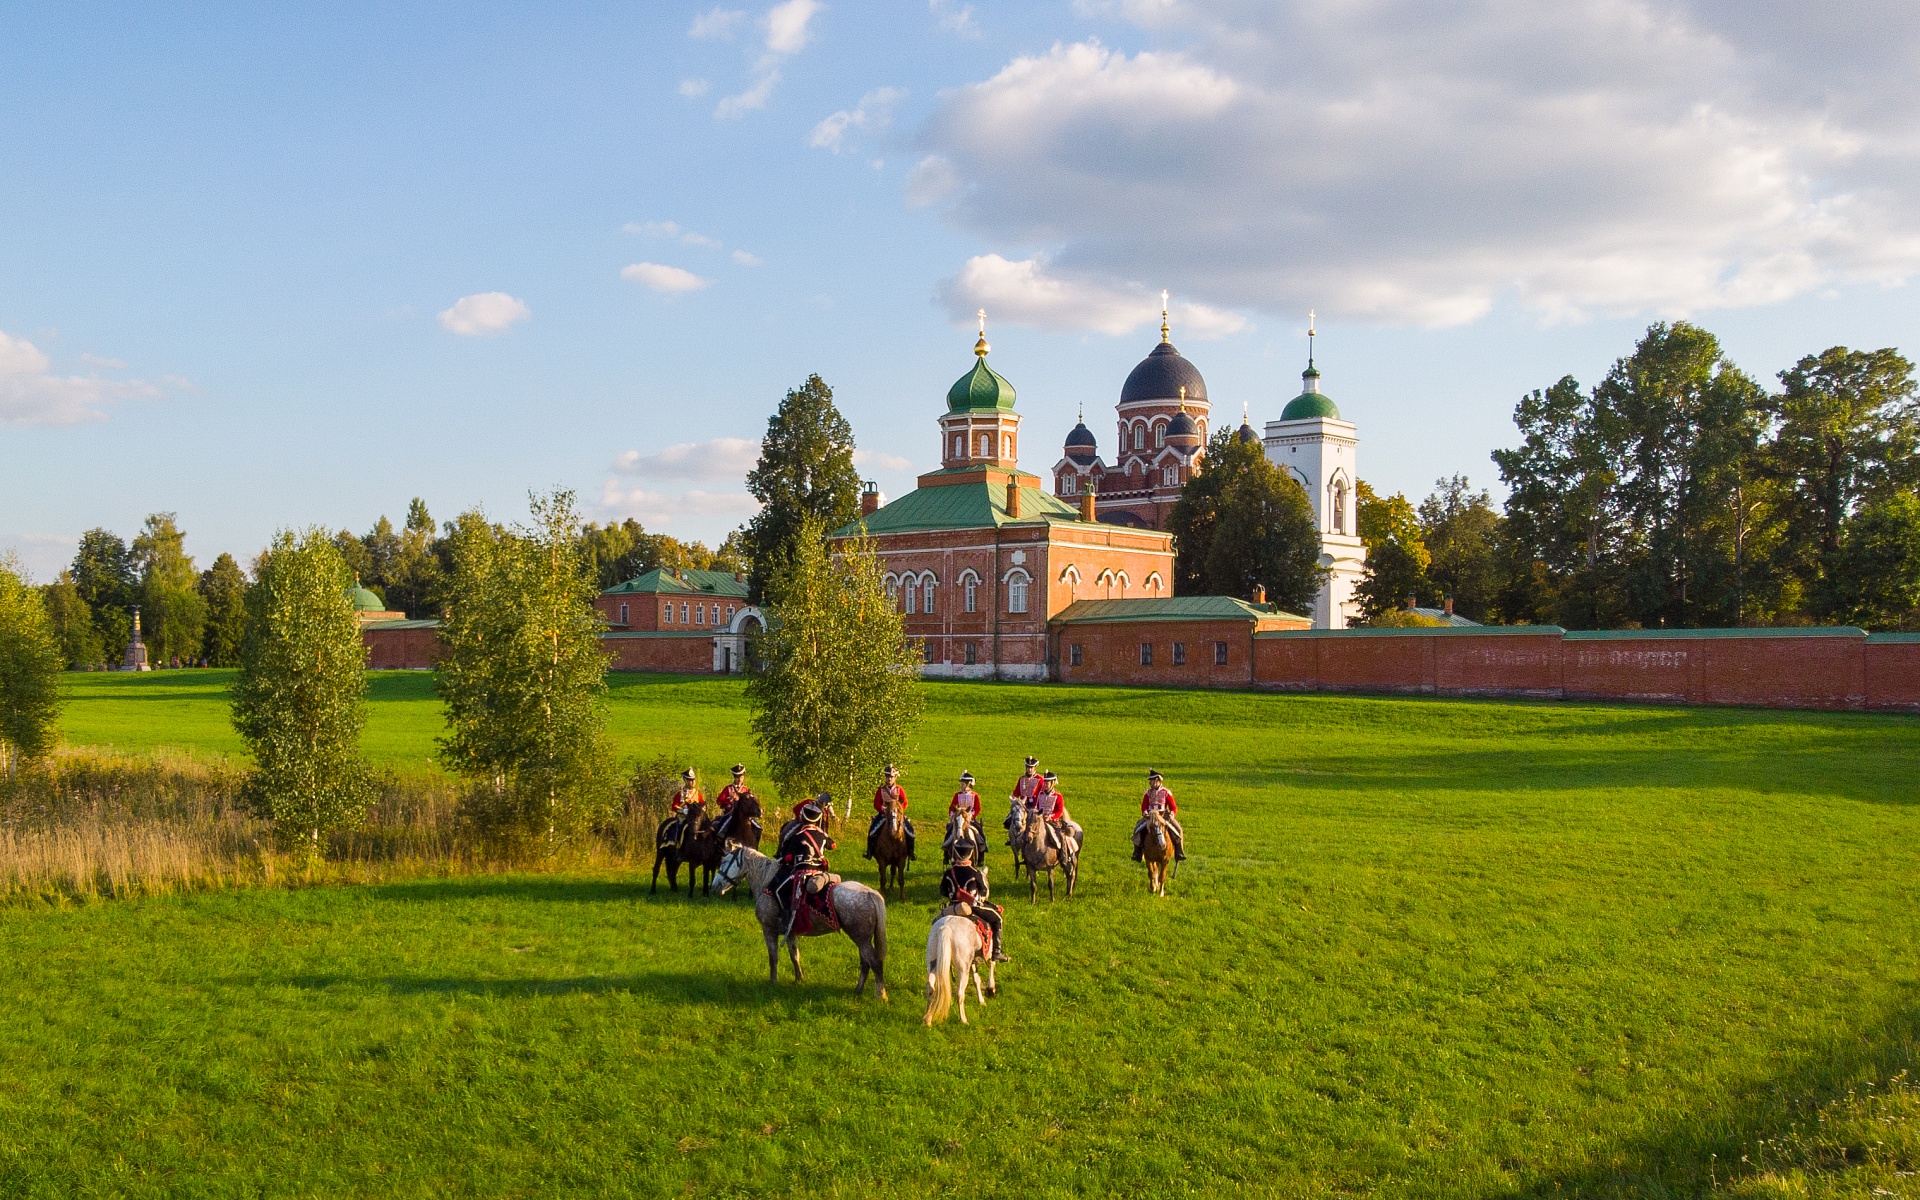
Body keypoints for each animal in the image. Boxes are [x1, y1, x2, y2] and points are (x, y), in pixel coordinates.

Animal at [714, 840, 890, 998]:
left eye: (724, 861)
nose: (714, 886)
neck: (767, 881)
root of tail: (869, 893)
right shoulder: (790, 932)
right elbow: (794, 955)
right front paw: (799, 979)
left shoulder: (768, 929)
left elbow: (773, 957)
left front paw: (772, 982)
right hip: (862, 939)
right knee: (865, 963)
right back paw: (858, 990)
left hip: (861, 939)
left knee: (874, 962)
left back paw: (880, 995)